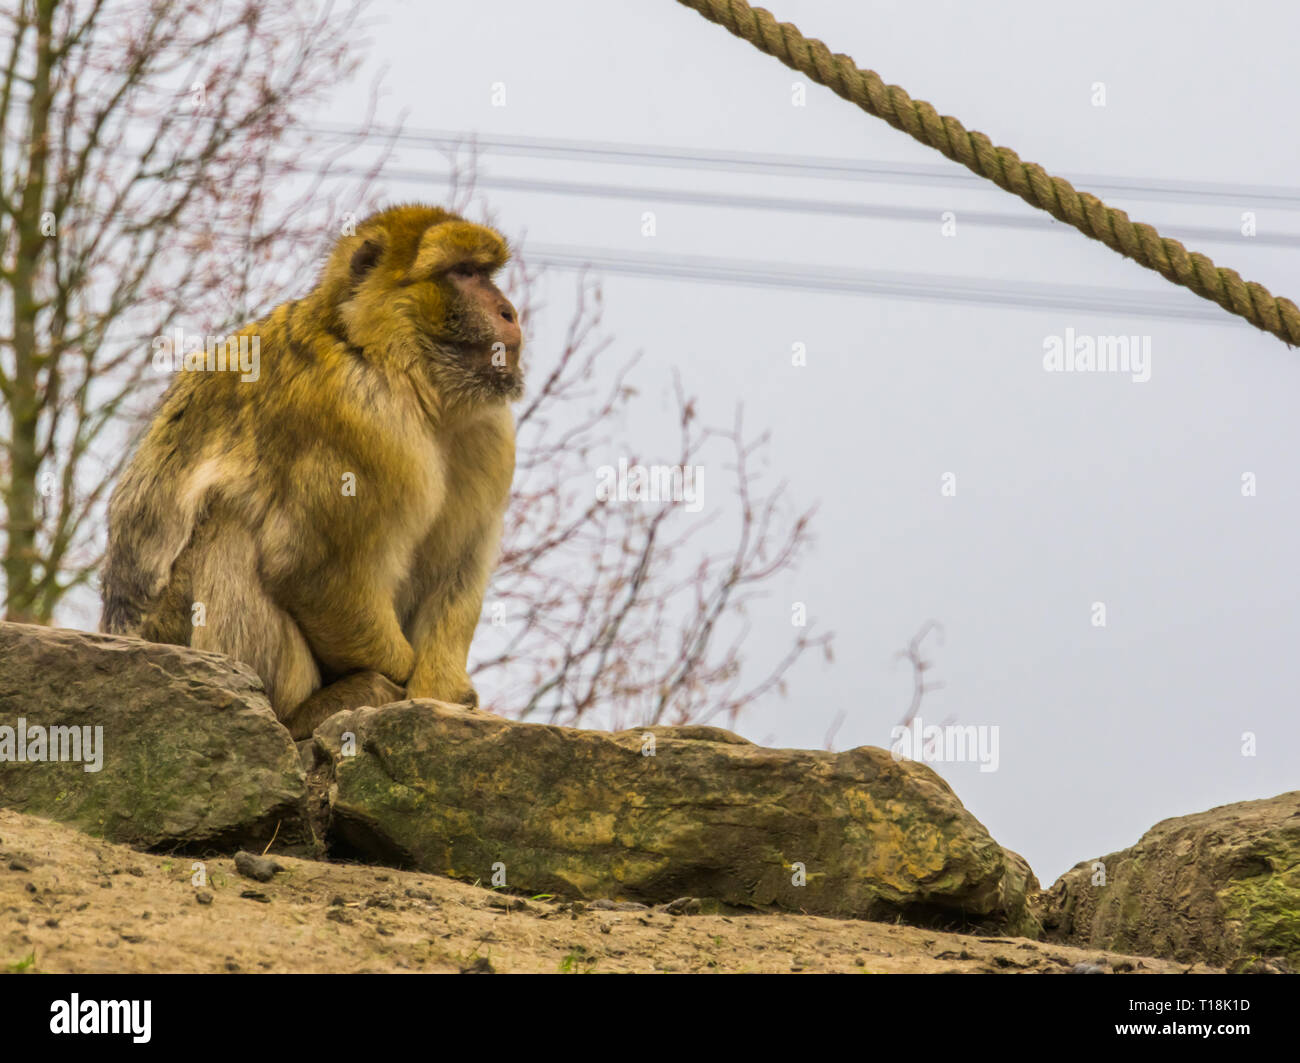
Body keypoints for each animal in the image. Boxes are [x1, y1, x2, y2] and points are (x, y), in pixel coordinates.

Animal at [100, 204, 523, 740]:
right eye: (463, 273)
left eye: (485, 273)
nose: (509, 311)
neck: (386, 360)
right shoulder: (352, 414)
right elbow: (311, 567)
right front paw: (392, 675)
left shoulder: (489, 432)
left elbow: (455, 567)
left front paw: (442, 692)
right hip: (169, 629)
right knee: (229, 526)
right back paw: (300, 710)